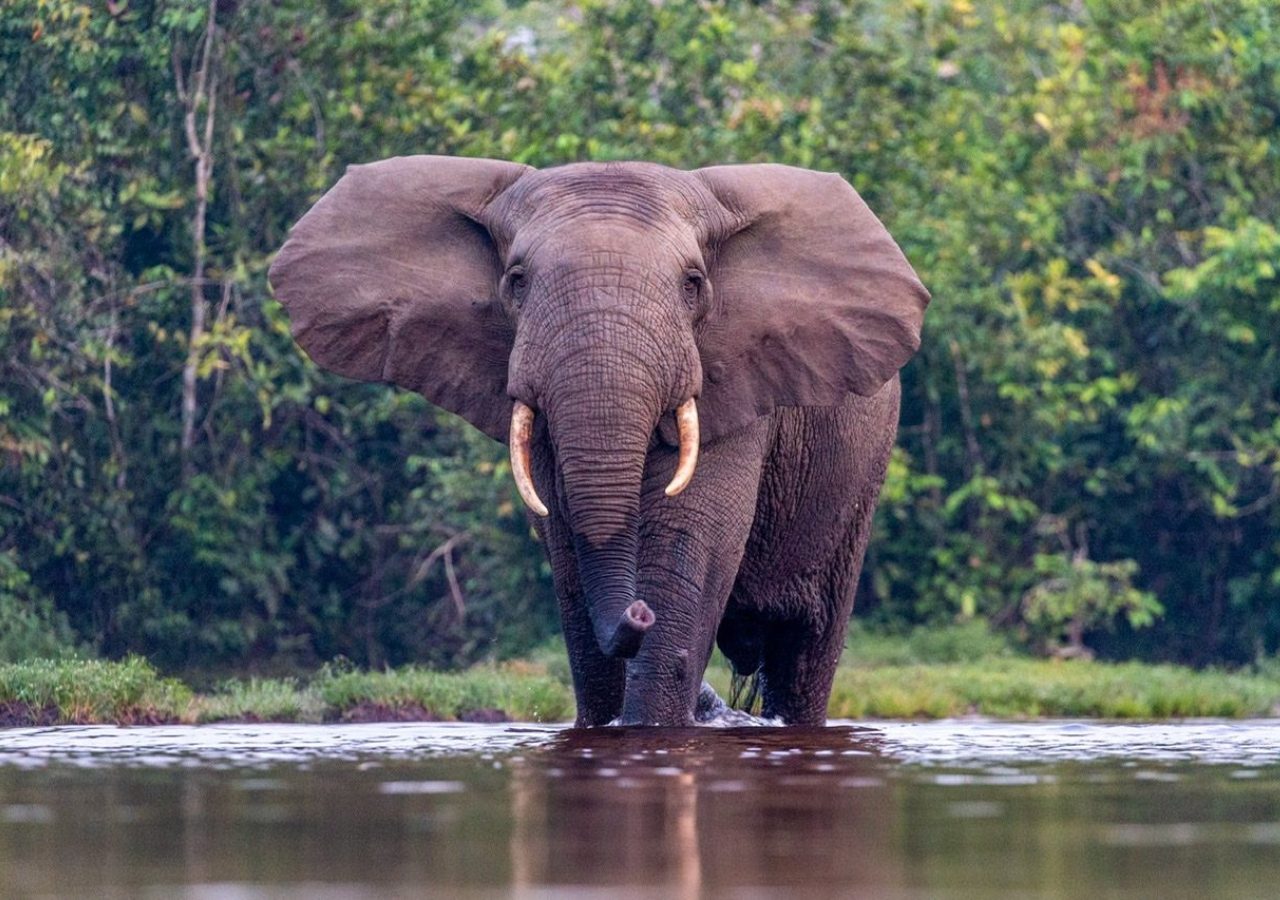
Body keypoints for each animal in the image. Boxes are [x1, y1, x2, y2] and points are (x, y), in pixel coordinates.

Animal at [270, 156, 931, 727]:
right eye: (516, 281)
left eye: (693, 284)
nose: (638, 611)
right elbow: (568, 550)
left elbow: (691, 543)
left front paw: (650, 727)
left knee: (807, 650)